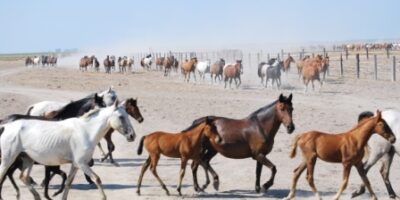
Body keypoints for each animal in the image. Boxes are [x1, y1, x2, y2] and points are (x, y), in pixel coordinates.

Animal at [0, 102, 136, 200]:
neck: (86, 131)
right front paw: (103, 197)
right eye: (121, 117)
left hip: (28, 160)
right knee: (4, 175)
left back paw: (36, 197)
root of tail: (5, 126)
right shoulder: (82, 163)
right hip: (8, 159)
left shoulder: (75, 165)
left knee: (23, 177)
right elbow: (97, 179)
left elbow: (68, 183)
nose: (132, 136)